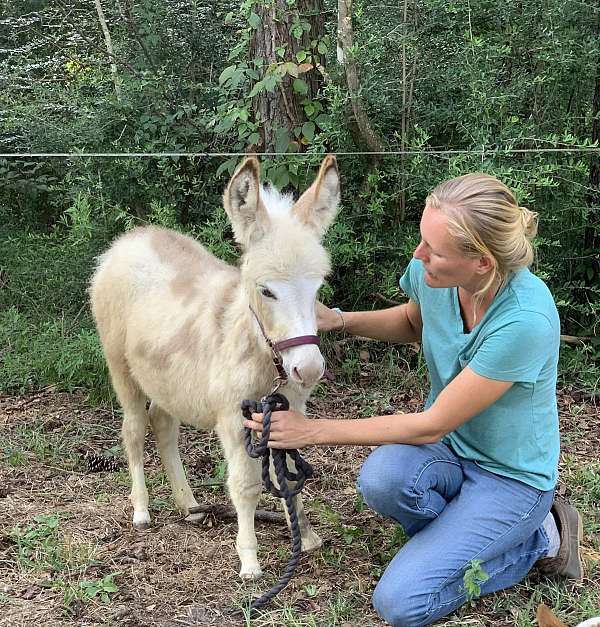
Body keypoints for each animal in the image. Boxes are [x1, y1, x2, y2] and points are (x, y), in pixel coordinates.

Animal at [91, 155, 340, 576]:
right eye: (266, 290)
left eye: (318, 287)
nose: (308, 370)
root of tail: (130, 239)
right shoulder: (233, 418)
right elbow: (245, 486)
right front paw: (250, 559)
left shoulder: (286, 412)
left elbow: (286, 477)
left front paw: (305, 537)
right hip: (120, 367)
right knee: (134, 429)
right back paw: (141, 509)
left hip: (168, 380)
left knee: (163, 424)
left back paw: (189, 505)